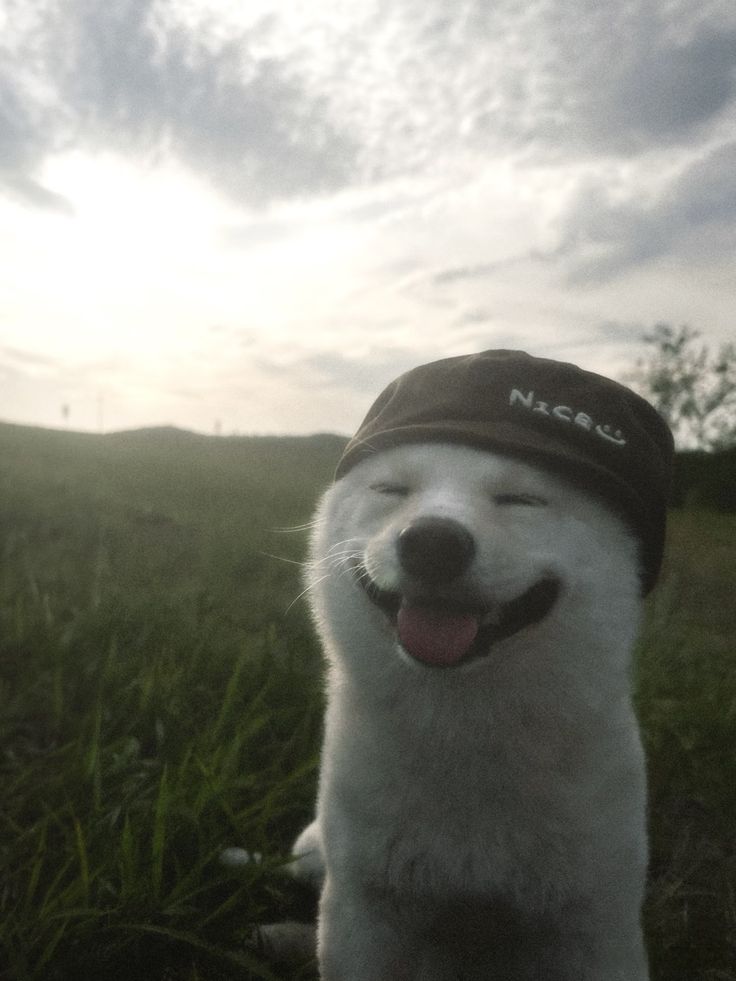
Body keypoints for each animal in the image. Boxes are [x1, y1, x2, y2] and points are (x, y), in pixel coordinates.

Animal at [281, 351, 673, 979]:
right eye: (392, 489)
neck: (464, 731)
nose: (431, 542)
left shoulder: (593, 927)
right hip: (309, 853)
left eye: (522, 501)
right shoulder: (365, 913)